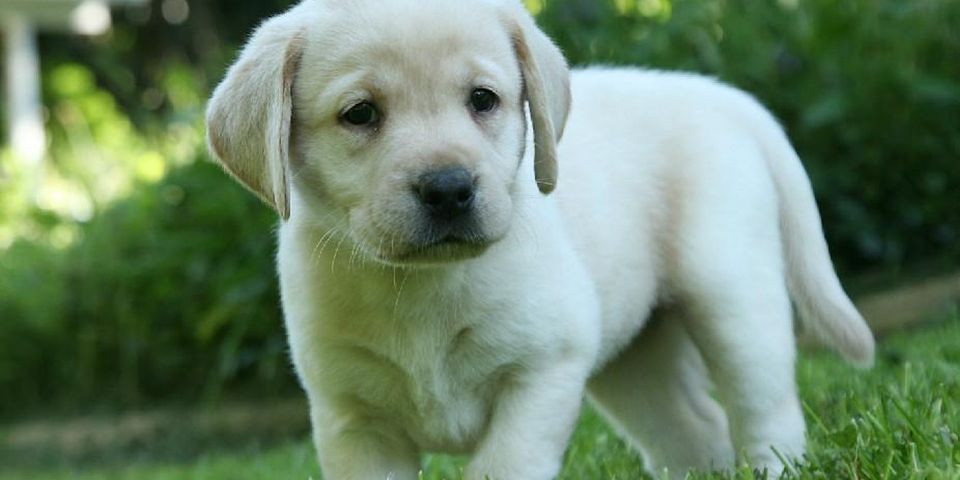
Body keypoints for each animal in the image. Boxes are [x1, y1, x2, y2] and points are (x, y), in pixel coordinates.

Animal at [208, 0, 876, 480]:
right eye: (360, 113)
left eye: (483, 99)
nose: (449, 188)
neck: (422, 286)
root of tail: (723, 96)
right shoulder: (353, 422)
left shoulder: (543, 370)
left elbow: (502, 466)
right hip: (636, 361)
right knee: (693, 430)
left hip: (732, 298)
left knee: (765, 411)